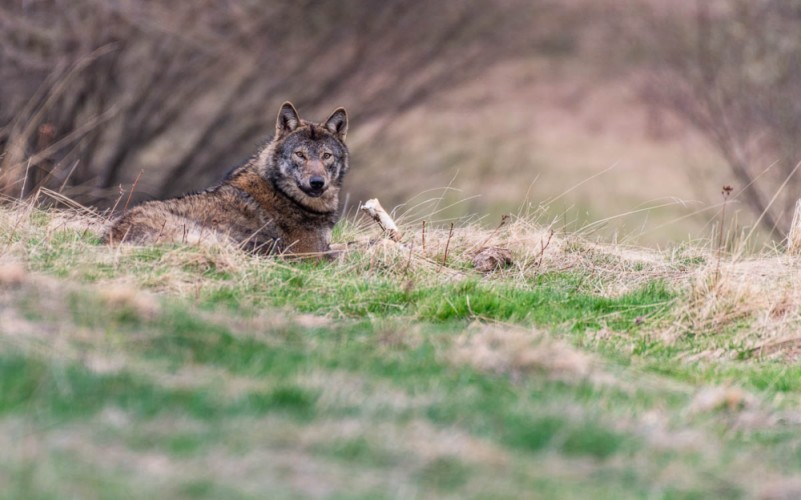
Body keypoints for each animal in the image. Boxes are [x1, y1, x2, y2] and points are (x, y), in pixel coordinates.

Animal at [102, 102, 346, 258]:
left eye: (326, 156)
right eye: (300, 154)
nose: (317, 182)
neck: (285, 194)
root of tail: (111, 238)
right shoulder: (310, 256)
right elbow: (344, 254)